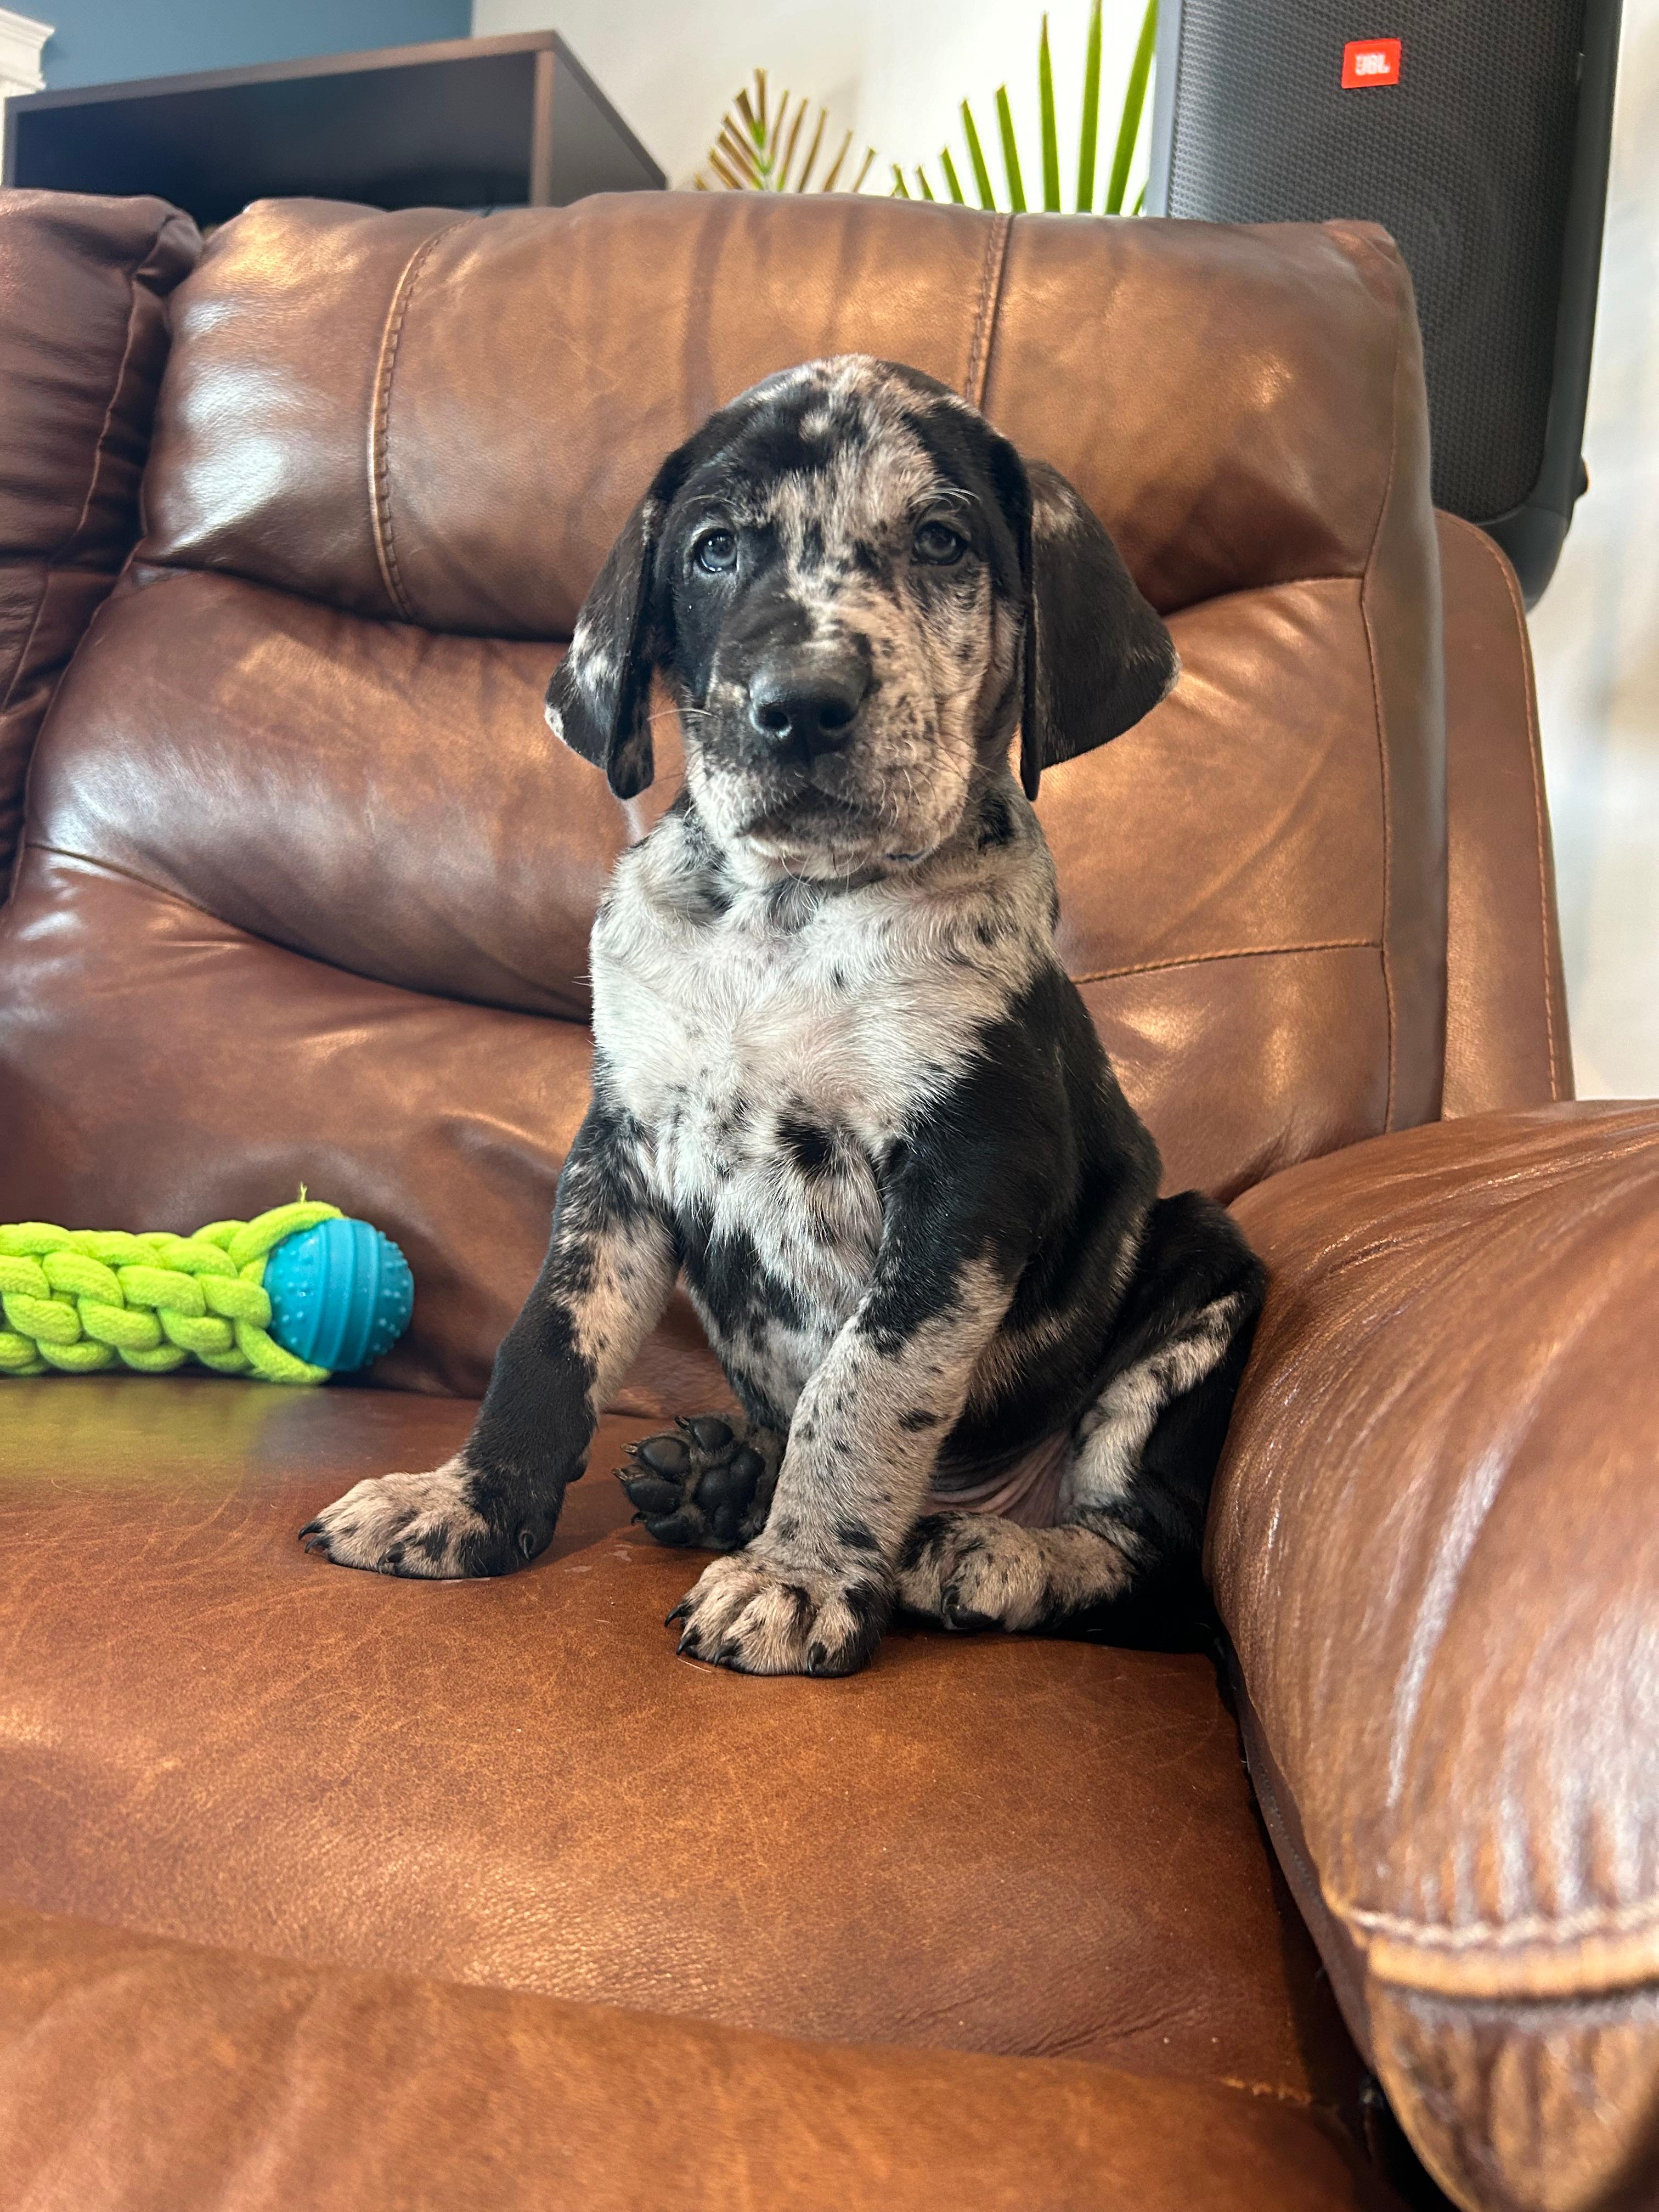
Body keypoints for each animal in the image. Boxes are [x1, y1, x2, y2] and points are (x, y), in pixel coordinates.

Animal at [305, 354, 1265, 1672]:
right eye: (712, 549)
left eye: (943, 540)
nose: (800, 705)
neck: (786, 921)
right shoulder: (620, 1146)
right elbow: (548, 1339)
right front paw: (465, 1501)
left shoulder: (967, 1175)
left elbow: (865, 1383)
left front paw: (803, 1576)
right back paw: (718, 1480)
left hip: (1201, 1268)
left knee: (1141, 1549)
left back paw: (988, 1552)